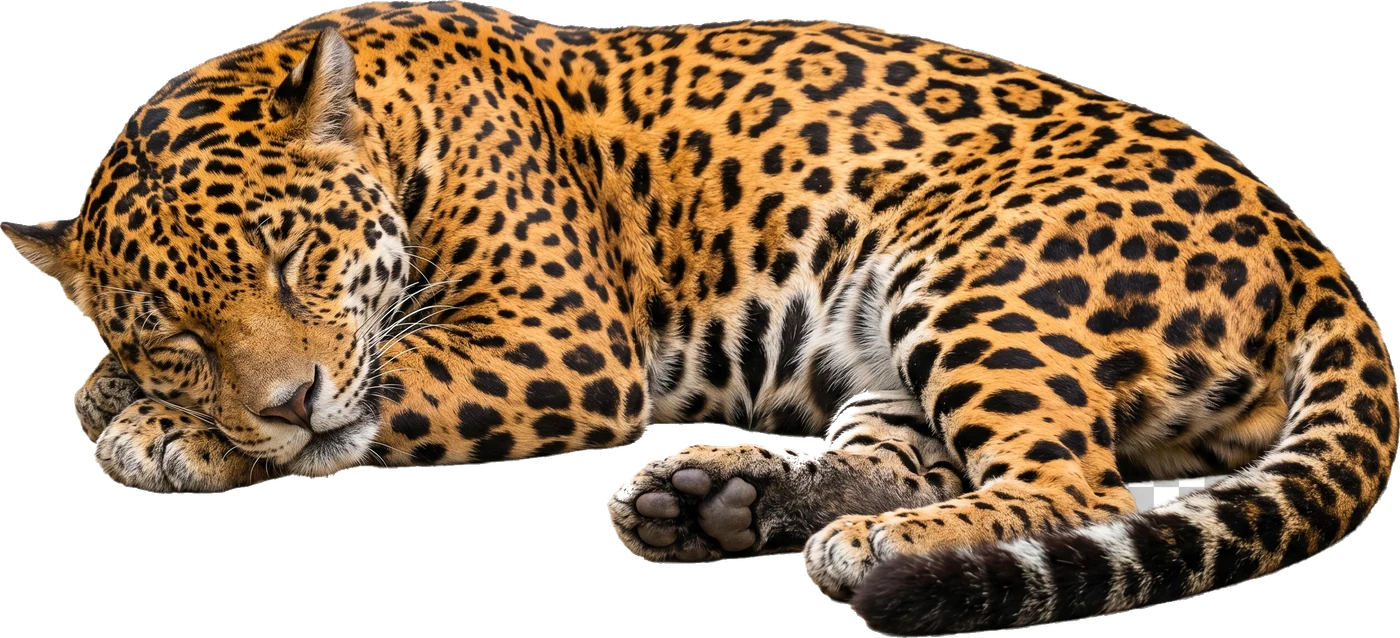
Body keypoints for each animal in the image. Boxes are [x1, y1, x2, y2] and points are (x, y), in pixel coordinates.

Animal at [4, 2, 1394, 634]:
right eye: (175, 332)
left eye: (297, 260)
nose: (284, 400)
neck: (399, 121)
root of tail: (1295, 228)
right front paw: (135, 397)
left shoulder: (552, 342)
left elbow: (387, 381)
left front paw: (177, 436)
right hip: (883, 341)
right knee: (910, 456)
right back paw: (724, 501)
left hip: (972, 269)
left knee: (1072, 476)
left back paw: (874, 550)